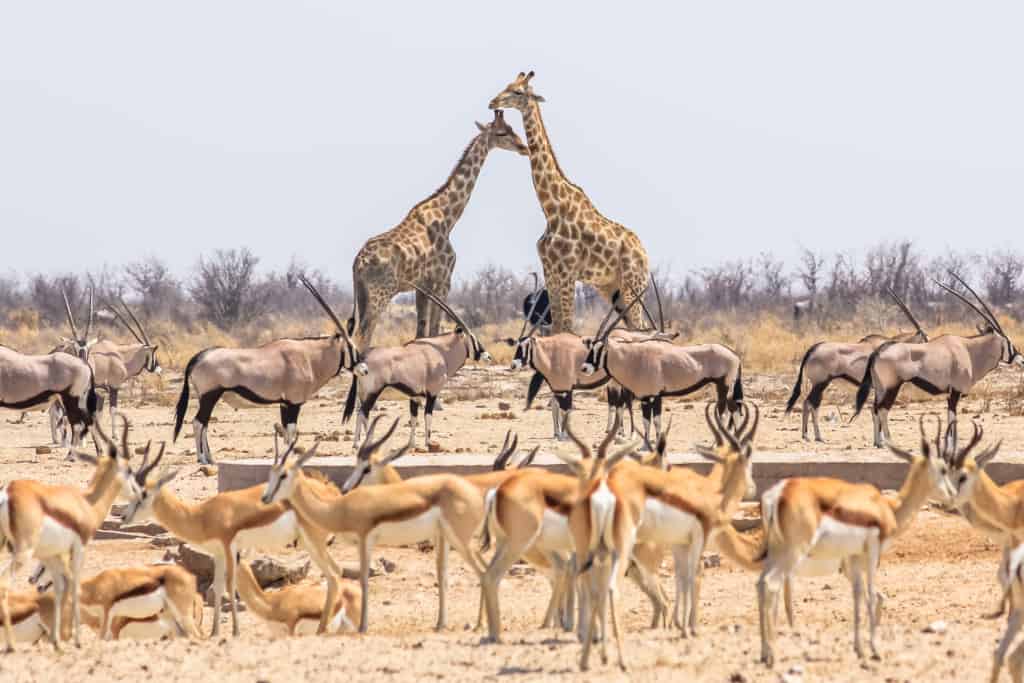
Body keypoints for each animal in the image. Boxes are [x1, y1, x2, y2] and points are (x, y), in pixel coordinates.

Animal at [350, 112, 528, 350]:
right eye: (501, 133)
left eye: (512, 128)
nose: (523, 147)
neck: (448, 218)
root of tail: (358, 263)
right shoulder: (443, 280)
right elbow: (434, 330)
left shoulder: (422, 286)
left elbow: (421, 332)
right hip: (381, 293)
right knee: (363, 336)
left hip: (362, 294)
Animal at [487, 71, 647, 333]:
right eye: (507, 85)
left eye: (518, 92)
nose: (493, 102)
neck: (551, 210)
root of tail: (645, 254)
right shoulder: (550, 271)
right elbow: (558, 327)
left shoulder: (567, 271)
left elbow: (568, 327)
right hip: (612, 288)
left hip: (634, 284)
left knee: (644, 327)